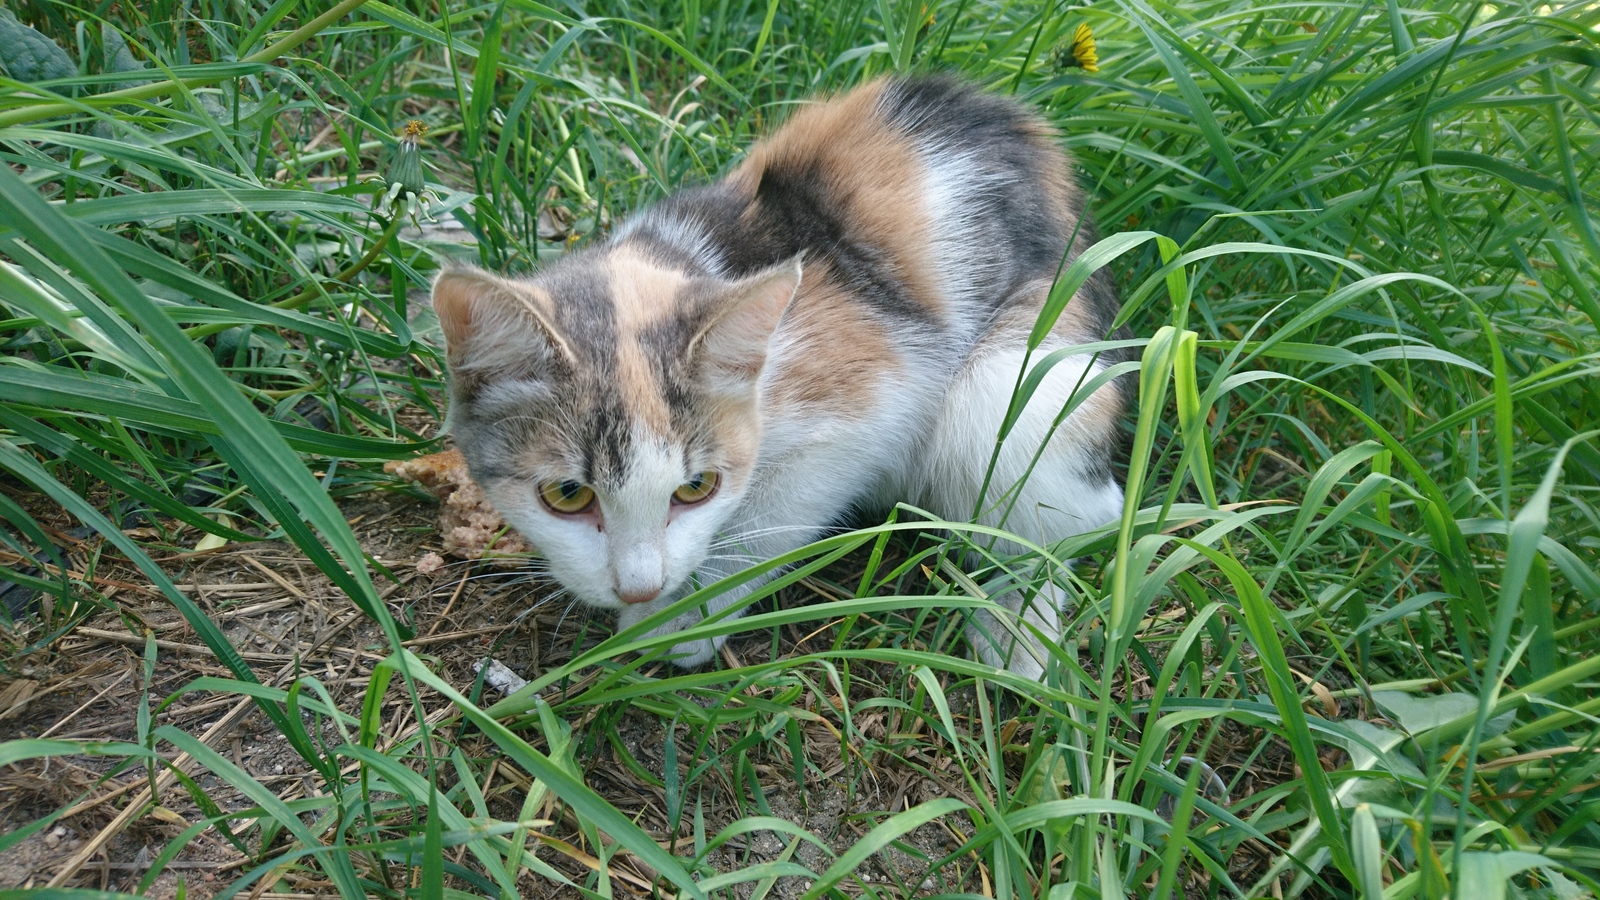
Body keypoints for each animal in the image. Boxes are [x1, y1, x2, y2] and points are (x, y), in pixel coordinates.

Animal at [435, 75, 1126, 672]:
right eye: (566, 496)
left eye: (696, 489)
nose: (640, 587)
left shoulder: (877, 400)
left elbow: (772, 518)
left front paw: (683, 617)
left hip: (1008, 386)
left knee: (1070, 517)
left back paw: (1019, 632)